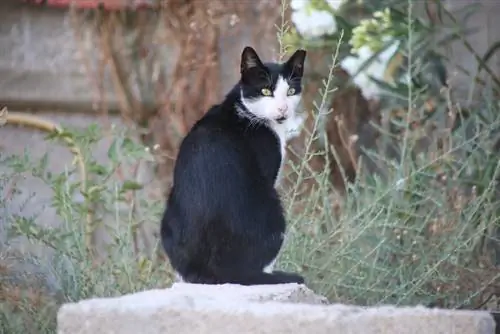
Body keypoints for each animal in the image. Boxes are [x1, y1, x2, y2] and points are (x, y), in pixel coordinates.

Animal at [162, 45, 306, 284]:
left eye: (291, 92)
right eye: (266, 91)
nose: (283, 110)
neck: (245, 112)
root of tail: (212, 269)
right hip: (272, 206)